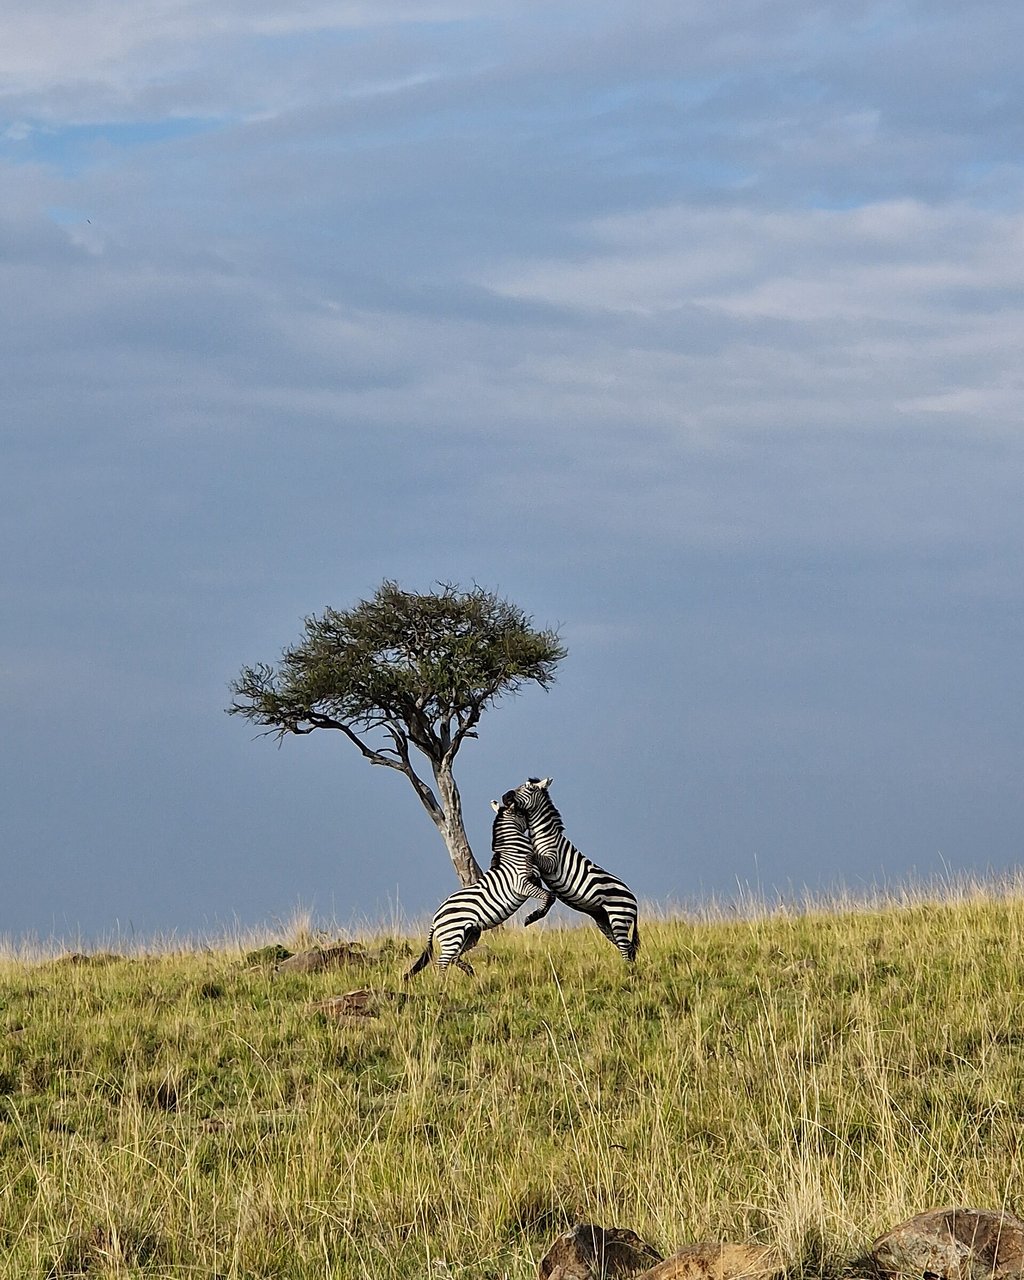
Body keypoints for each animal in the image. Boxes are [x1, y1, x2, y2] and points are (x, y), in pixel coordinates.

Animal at [404, 797, 554, 978]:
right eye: (522, 813)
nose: (536, 824)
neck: (515, 853)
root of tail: (435, 918)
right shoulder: (521, 885)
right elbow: (548, 896)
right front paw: (534, 916)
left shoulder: (534, 879)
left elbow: (548, 893)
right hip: (452, 936)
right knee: (442, 961)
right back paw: (443, 983)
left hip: (470, 934)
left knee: (454, 957)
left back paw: (470, 973)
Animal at [504, 776, 640, 962]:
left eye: (529, 789)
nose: (504, 797)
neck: (544, 835)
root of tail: (634, 900)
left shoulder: (551, 861)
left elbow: (531, 857)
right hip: (605, 920)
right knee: (628, 949)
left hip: (619, 916)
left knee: (626, 950)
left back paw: (626, 971)